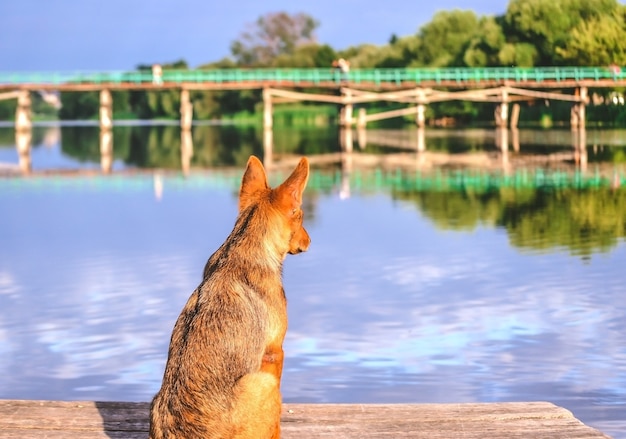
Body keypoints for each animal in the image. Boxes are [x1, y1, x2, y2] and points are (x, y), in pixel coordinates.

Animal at [149, 156, 310, 438]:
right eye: (299, 214)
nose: (310, 241)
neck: (241, 244)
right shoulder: (274, 352)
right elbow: (277, 421)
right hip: (264, 382)